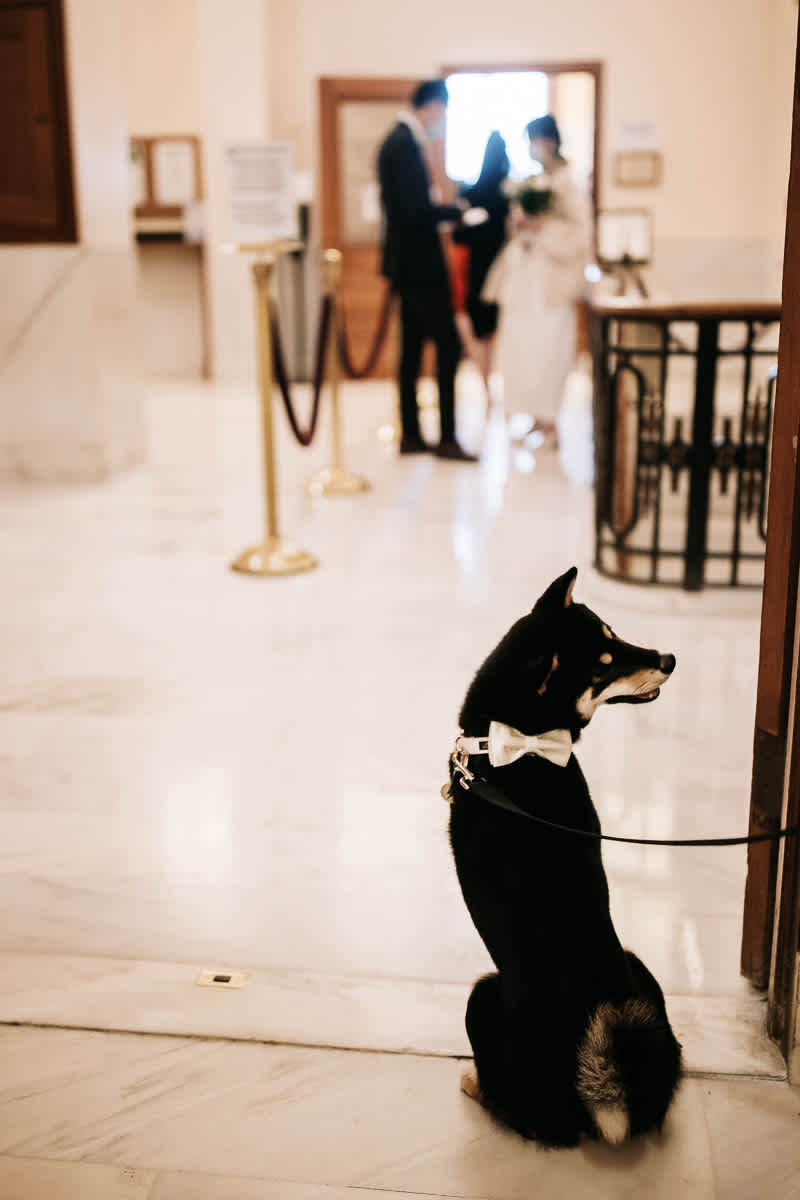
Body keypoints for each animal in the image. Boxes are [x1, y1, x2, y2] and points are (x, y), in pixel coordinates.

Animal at [450, 566, 681, 1147]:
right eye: (604, 662)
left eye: (615, 639)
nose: (668, 658)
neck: (522, 747)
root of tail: (606, 1100)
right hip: (638, 970)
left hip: (482, 995)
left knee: (519, 1112)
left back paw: (474, 1082)